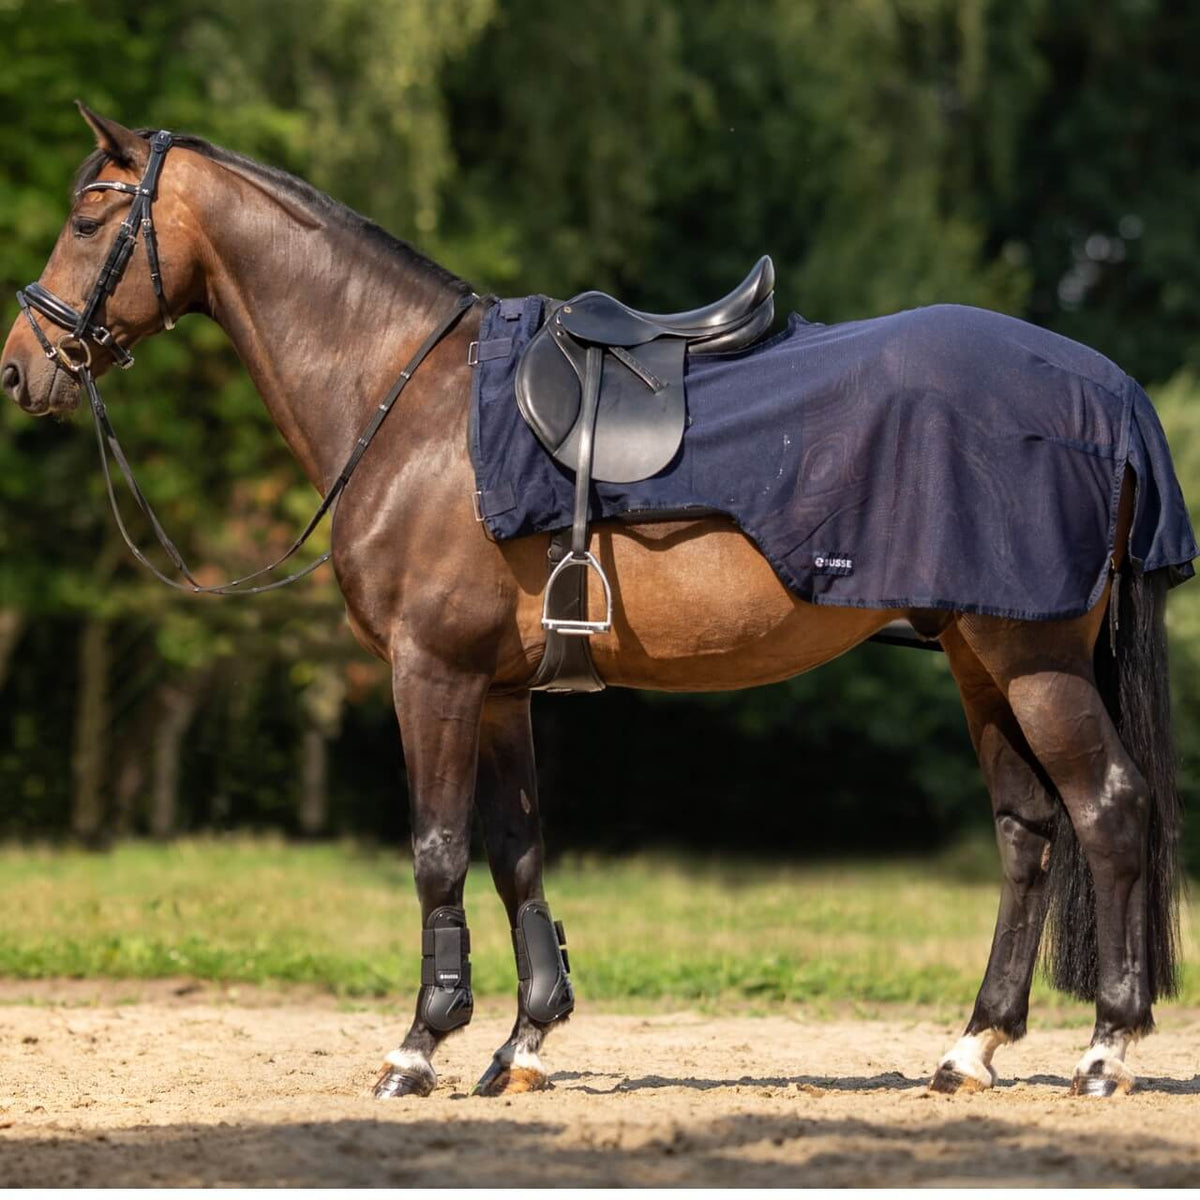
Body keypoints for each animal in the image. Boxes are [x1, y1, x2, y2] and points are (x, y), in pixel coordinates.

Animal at [2, 105, 1188, 1101]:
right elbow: (517, 850)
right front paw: (522, 1042)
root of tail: (1111, 392)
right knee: (1028, 832)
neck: (414, 403)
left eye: (86, 218)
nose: (21, 368)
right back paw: (972, 1048)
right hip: (981, 662)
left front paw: (418, 1047)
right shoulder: (496, 691)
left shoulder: (429, 673)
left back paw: (1106, 1048)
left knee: (1109, 809)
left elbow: (438, 851)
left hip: (1033, 661)